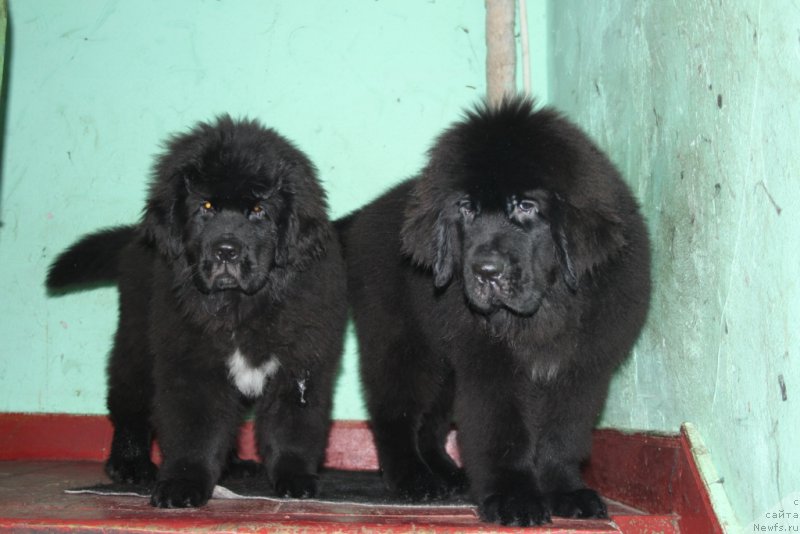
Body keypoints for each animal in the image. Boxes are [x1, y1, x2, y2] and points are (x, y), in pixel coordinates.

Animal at [46, 117, 346, 510]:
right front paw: (182, 484)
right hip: (136, 339)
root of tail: (137, 236)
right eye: (205, 206)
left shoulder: (300, 363)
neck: (238, 307)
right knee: (129, 402)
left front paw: (295, 478)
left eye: (258, 211)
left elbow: (290, 426)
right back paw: (130, 464)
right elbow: (195, 429)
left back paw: (234, 466)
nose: (226, 251)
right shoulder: (190, 361)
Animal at [340, 98, 652, 528]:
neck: (546, 310)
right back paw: (412, 478)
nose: (485, 271)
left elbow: (562, 434)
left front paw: (565, 491)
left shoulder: (581, 369)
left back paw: (447, 473)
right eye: (466, 209)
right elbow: (502, 431)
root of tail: (364, 214)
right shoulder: (491, 365)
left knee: (432, 423)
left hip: (443, 363)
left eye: (526, 206)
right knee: (395, 413)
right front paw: (513, 497)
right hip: (401, 343)